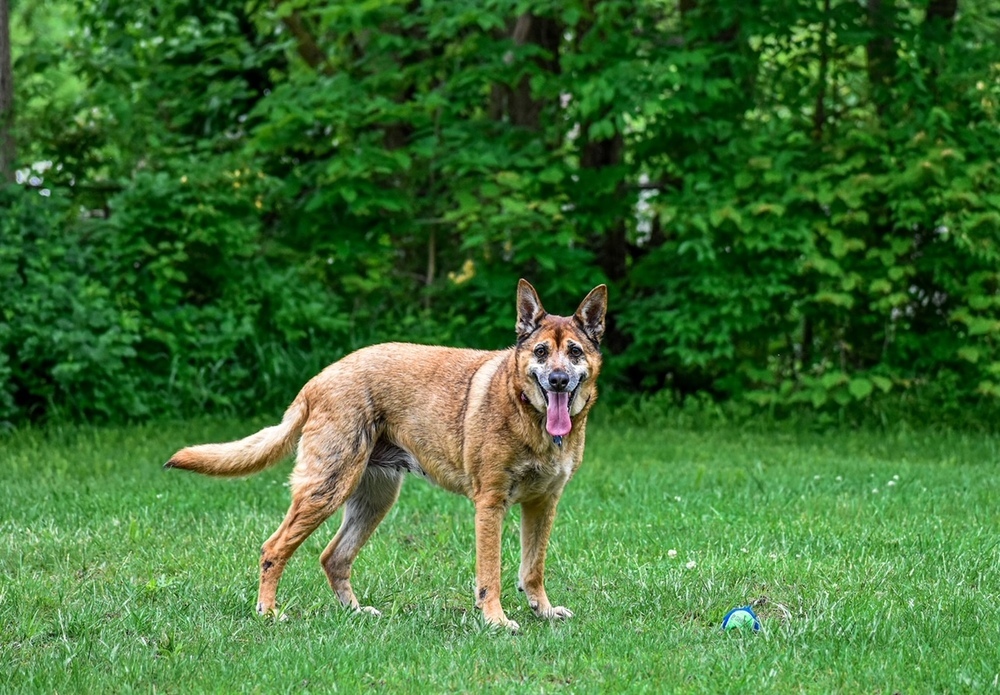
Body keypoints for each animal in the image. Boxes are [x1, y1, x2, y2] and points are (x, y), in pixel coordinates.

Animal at [165, 278, 604, 632]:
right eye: (541, 352)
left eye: (575, 352)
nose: (558, 380)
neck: (528, 414)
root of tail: (317, 380)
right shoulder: (490, 504)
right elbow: (490, 576)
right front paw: (496, 621)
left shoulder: (543, 504)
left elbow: (533, 569)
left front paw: (543, 612)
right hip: (326, 490)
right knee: (273, 550)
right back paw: (269, 613)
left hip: (373, 499)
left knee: (333, 557)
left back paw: (355, 613)